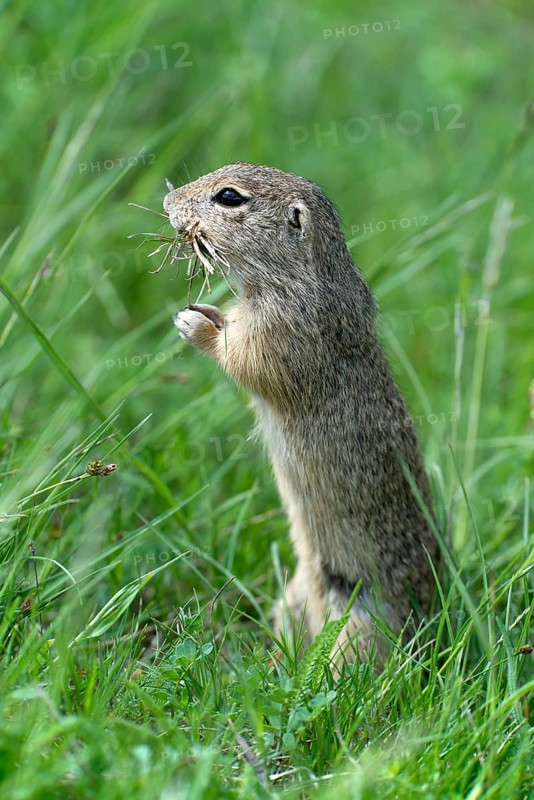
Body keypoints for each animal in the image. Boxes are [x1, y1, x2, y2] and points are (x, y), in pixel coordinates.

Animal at [163, 162, 439, 662]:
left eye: (229, 197)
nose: (167, 203)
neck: (299, 274)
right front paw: (205, 309)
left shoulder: (282, 329)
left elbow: (241, 356)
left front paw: (192, 322)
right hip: (291, 598)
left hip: (360, 622)